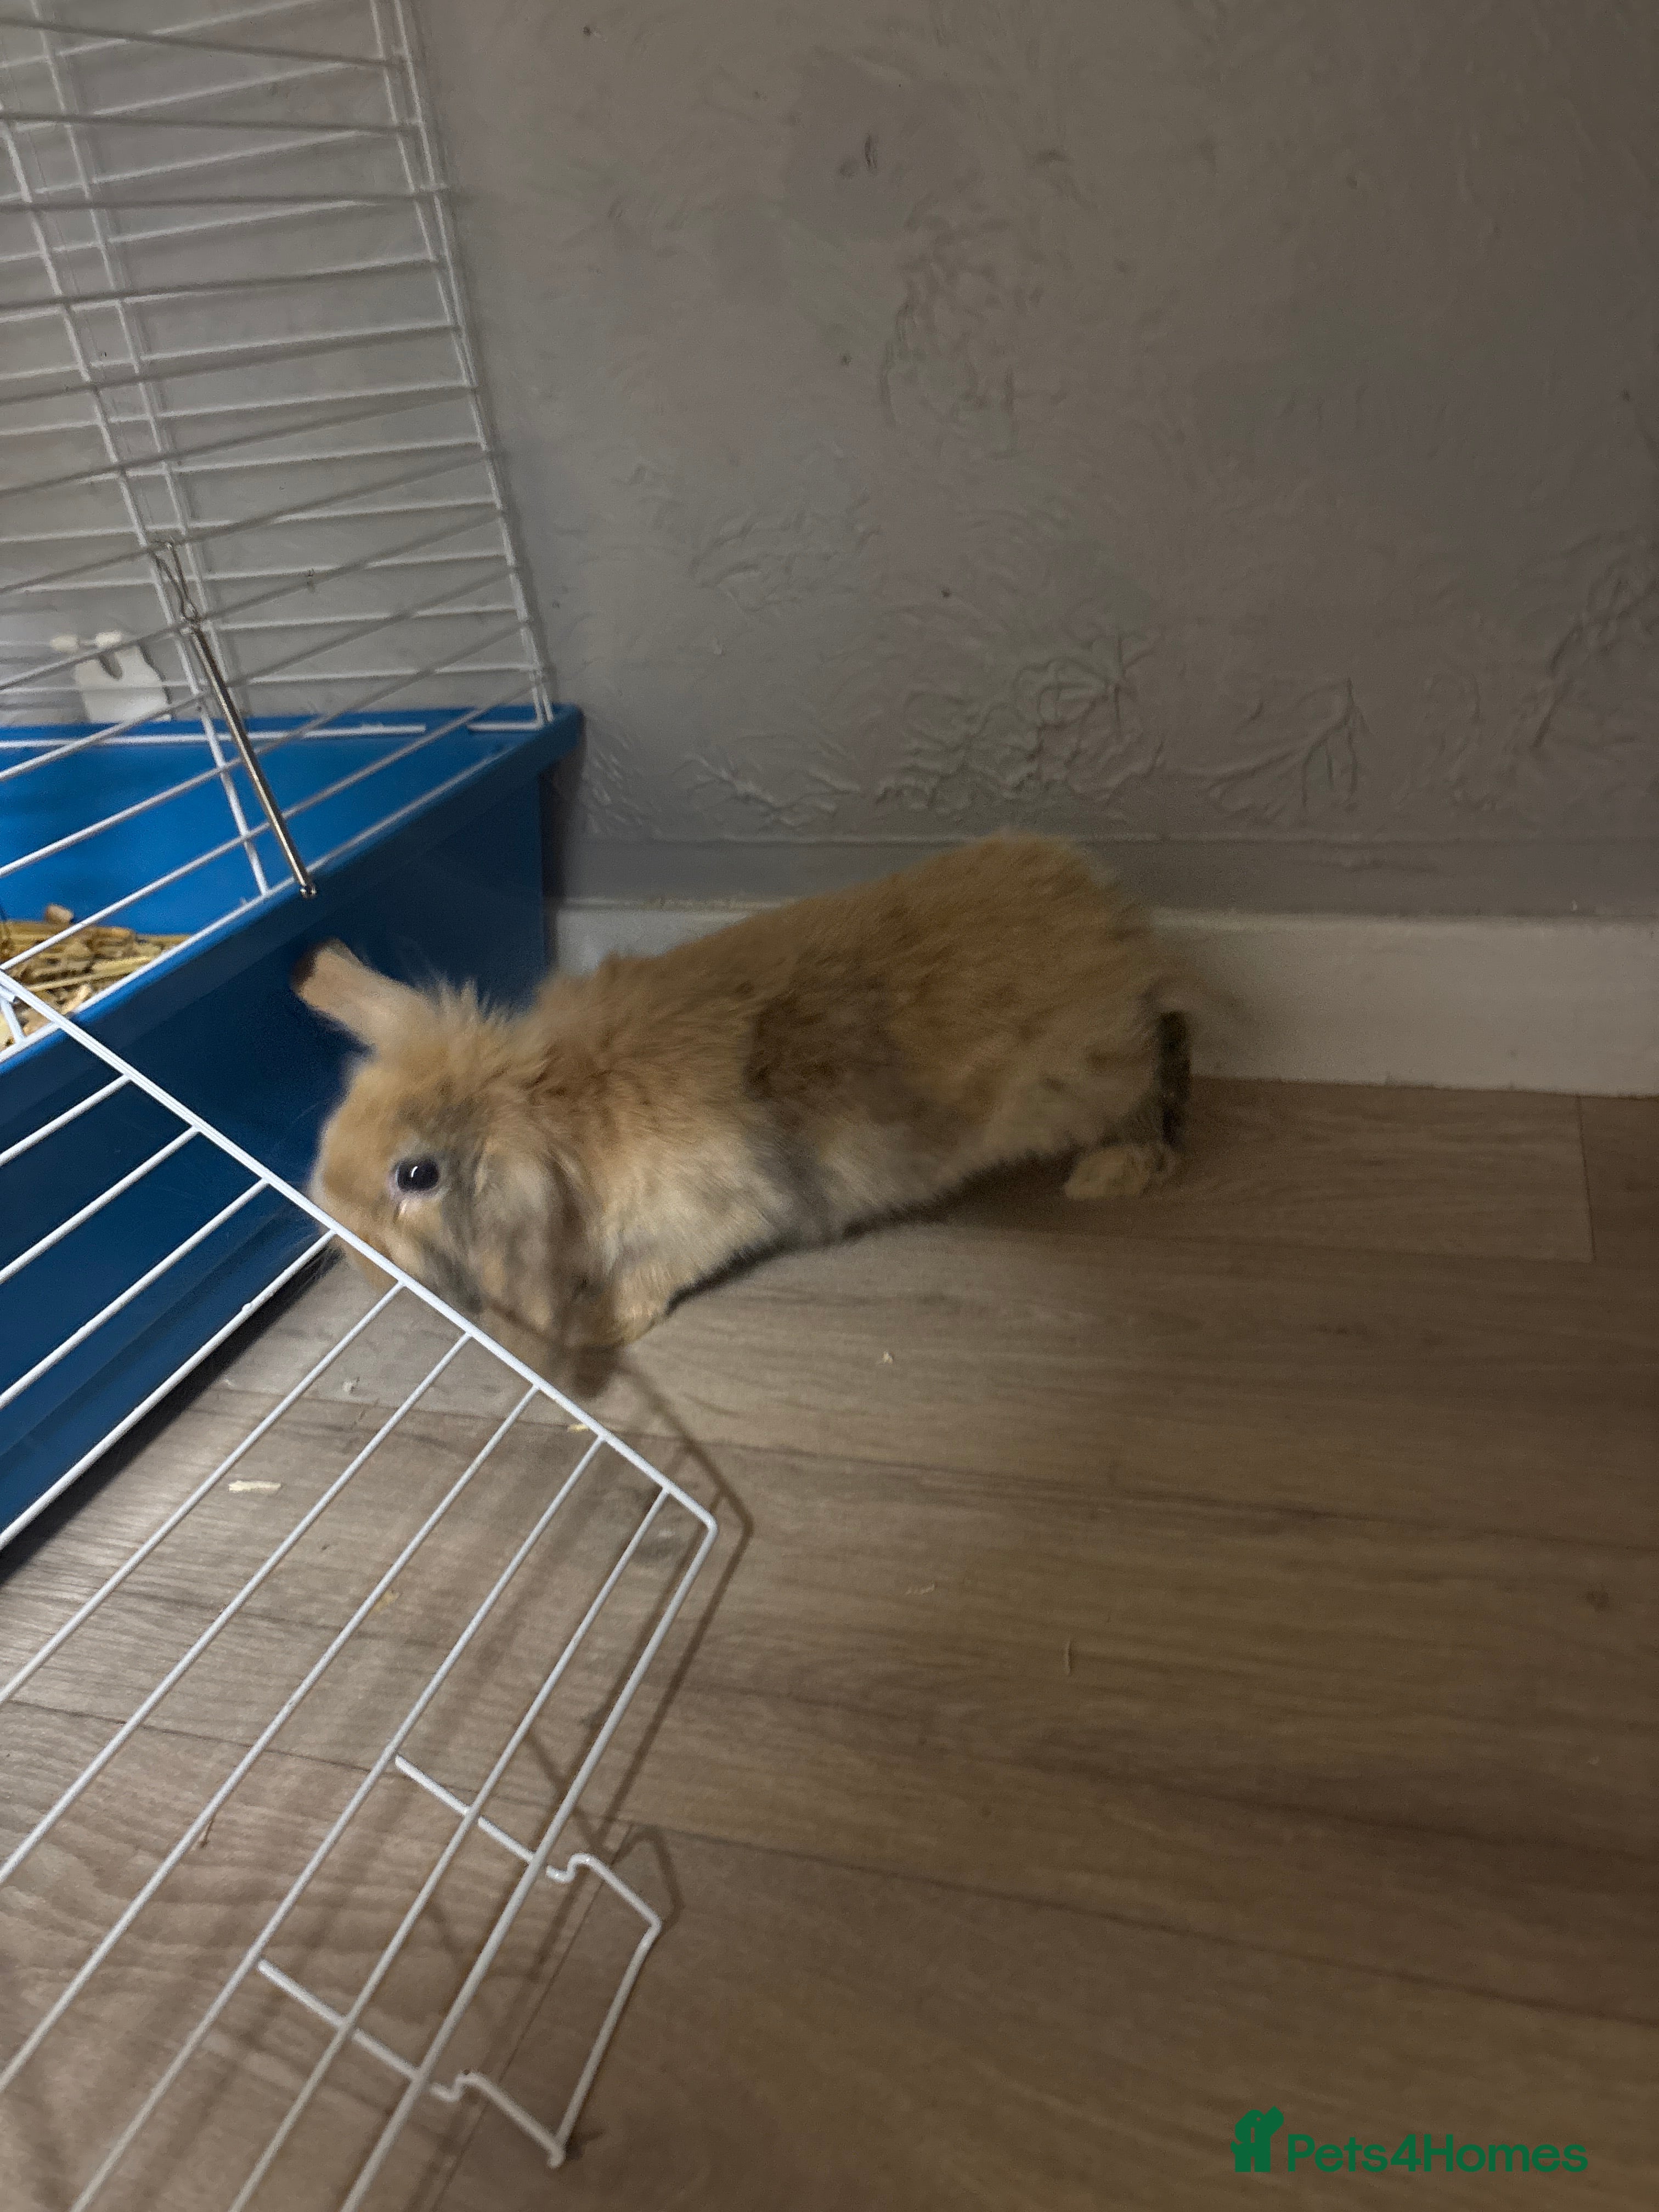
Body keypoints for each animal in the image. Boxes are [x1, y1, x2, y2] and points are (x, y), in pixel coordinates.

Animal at [292, 834, 1198, 1377]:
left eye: (416, 1175)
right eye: (335, 1128)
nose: (354, 1262)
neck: (551, 1110)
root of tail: (1109, 908)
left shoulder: (713, 1213)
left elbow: (653, 1275)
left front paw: (596, 1329)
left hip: (1084, 1080)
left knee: (1151, 1076)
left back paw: (1112, 1172)